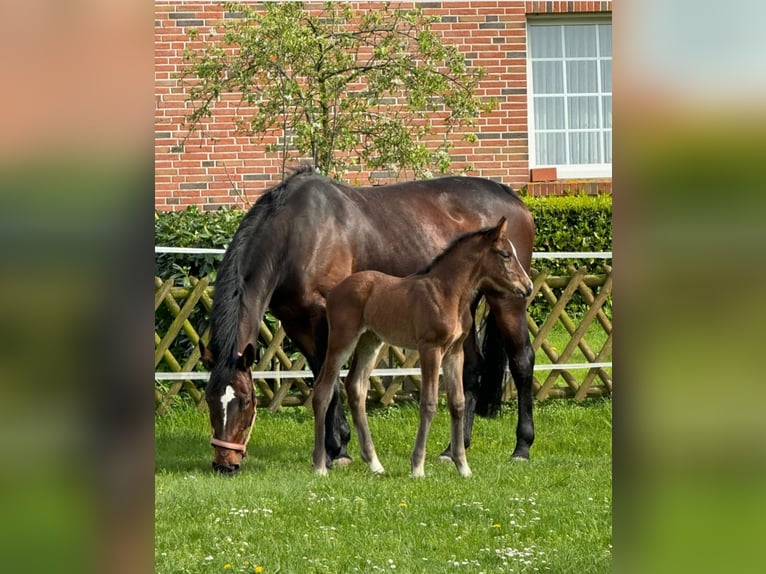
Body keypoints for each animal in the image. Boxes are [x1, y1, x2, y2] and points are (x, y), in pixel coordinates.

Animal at [312, 218, 536, 480]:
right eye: (505, 254)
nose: (528, 286)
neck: (448, 293)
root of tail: (333, 292)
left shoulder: (455, 352)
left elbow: (457, 402)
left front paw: (462, 466)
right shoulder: (430, 348)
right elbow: (428, 403)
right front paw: (418, 466)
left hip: (370, 341)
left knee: (356, 388)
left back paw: (375, 464)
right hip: (342, 341)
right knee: (323, 389)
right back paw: (319, 465)